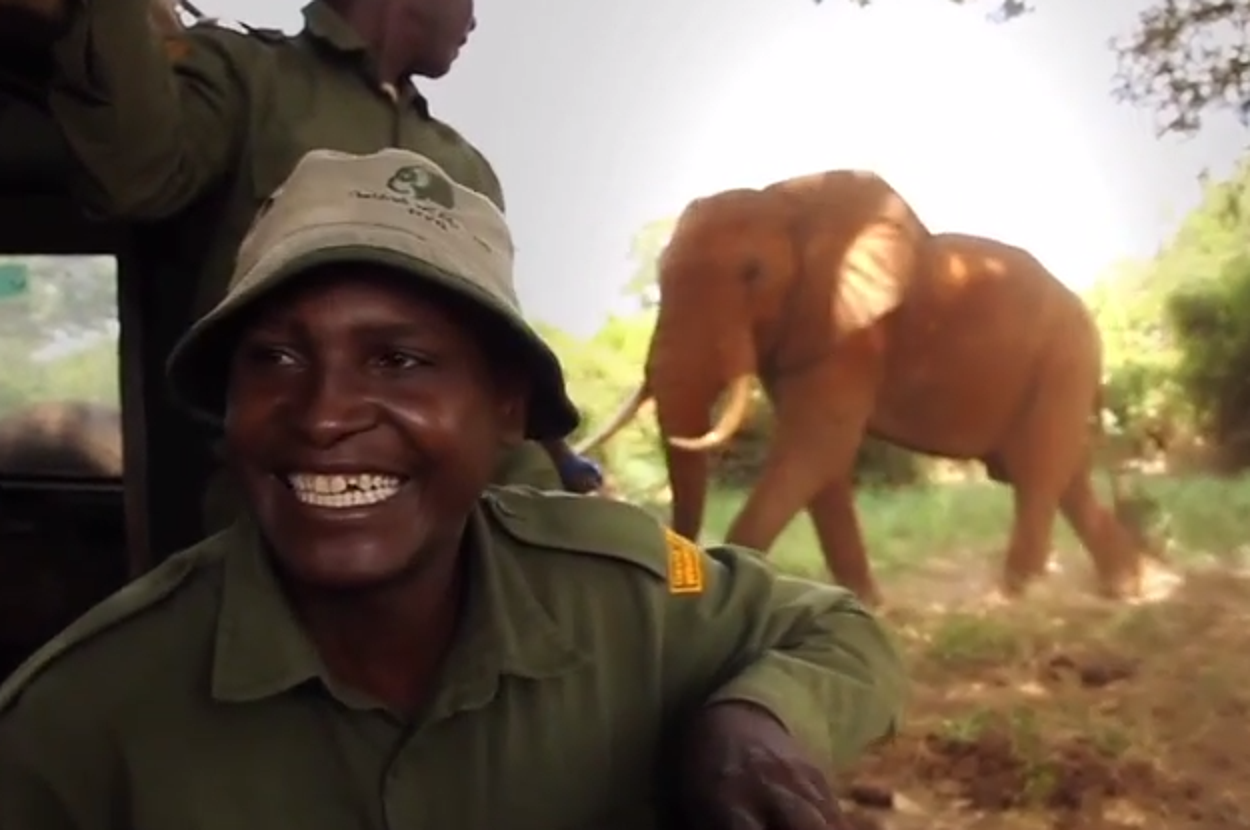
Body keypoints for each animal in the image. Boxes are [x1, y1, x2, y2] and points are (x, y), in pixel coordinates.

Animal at [575, 169, 1146, 606]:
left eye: (753, 274)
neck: (786, 202)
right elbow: (823, 461)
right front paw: (867, 603)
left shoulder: (853, 331)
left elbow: (816, 444)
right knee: (1063, 474)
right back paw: (1124, 587)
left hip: (1065, 359)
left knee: (1036, 470)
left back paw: (1013, 595)